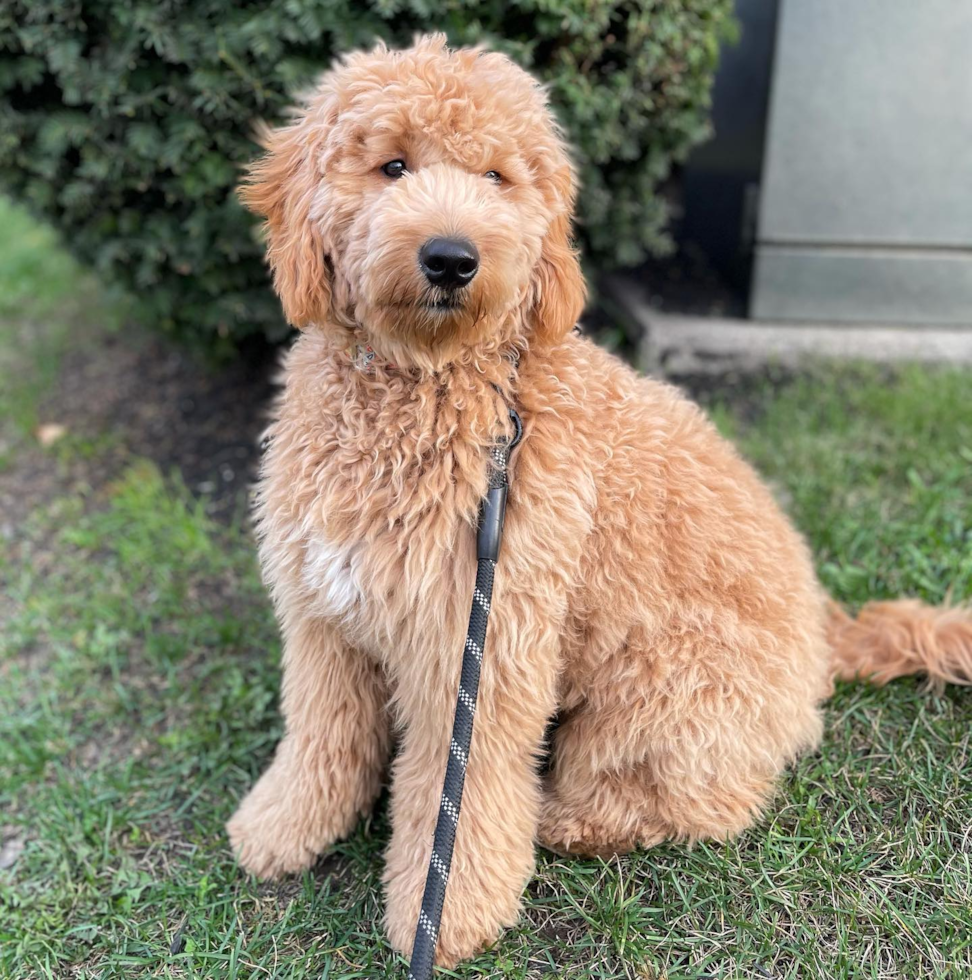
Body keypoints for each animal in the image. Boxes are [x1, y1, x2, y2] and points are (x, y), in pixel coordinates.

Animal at [228, 34, 972, 968]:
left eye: (498, 177)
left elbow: (458, 796)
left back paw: (568, 819)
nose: (452, 258)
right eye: (392, 165)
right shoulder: (327, 617)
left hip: (661, 689)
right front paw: (280, 830)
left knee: (700, 799)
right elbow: (322, 736)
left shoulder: (482, 643)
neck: (433, 385)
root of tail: (826, 630)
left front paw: (448, 914)